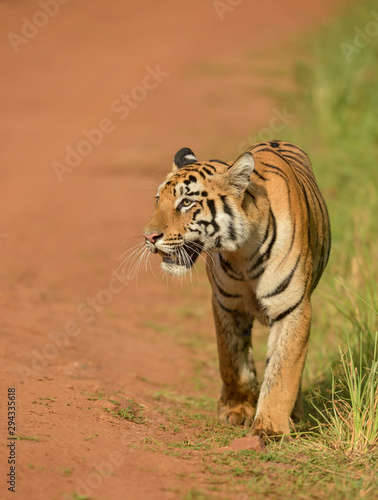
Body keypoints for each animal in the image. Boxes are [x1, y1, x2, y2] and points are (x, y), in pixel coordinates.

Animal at [142, 141, 330, 438]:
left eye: (186, 202)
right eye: (157, 199)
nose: (148, 237)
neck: (242, 253)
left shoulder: (293, 307)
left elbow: (283, 371)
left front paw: (270, 428)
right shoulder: (226, 305)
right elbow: (231, 360)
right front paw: (237, 409)